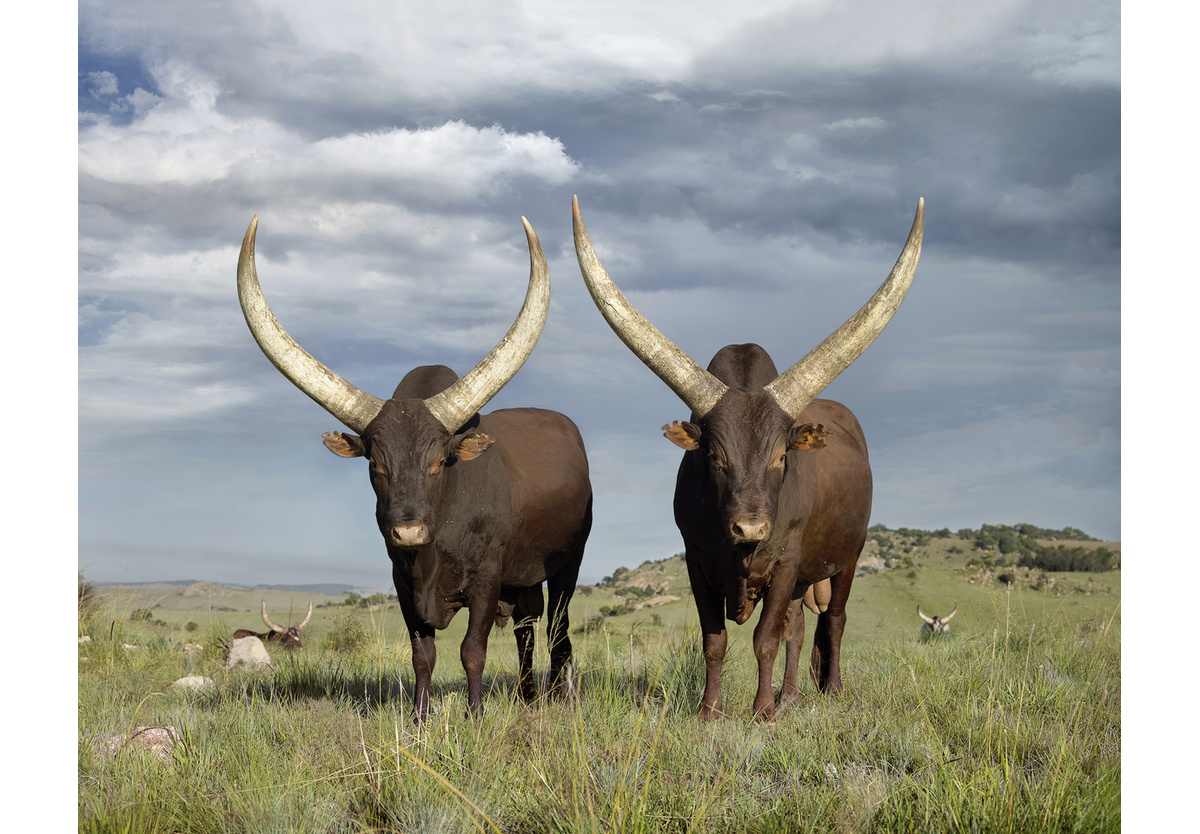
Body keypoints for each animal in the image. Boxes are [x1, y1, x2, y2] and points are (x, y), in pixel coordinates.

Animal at [576, 196, 921, 724]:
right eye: (714, 456)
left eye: (781, 456)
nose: (751, 528)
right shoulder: (697, 560)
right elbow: (715, 641)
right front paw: (711, 710)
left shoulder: (786, 560)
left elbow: (765, 640)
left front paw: (761, 712)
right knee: (798, 628)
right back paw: (792, 697)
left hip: (848, 555)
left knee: (833, 620)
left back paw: (830, 690)